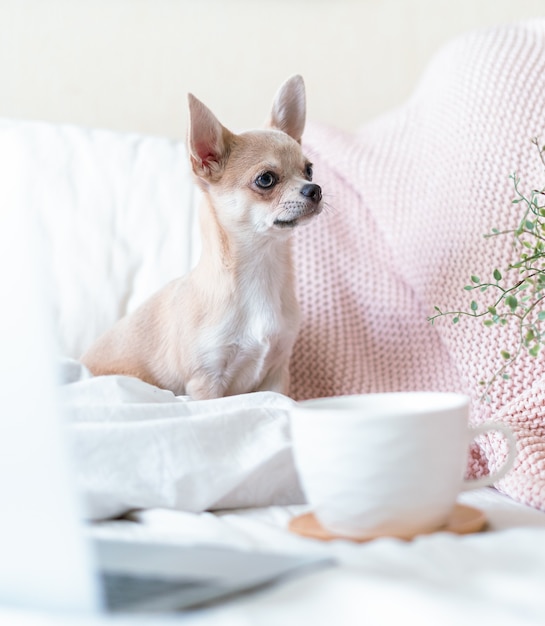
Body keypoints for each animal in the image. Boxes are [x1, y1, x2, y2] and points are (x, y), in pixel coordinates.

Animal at [80, 75, 318, 398]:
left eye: (310, 170)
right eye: (266, 180)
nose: (315, 189)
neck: (262, 267)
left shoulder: (276, 376)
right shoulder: (206, 380)